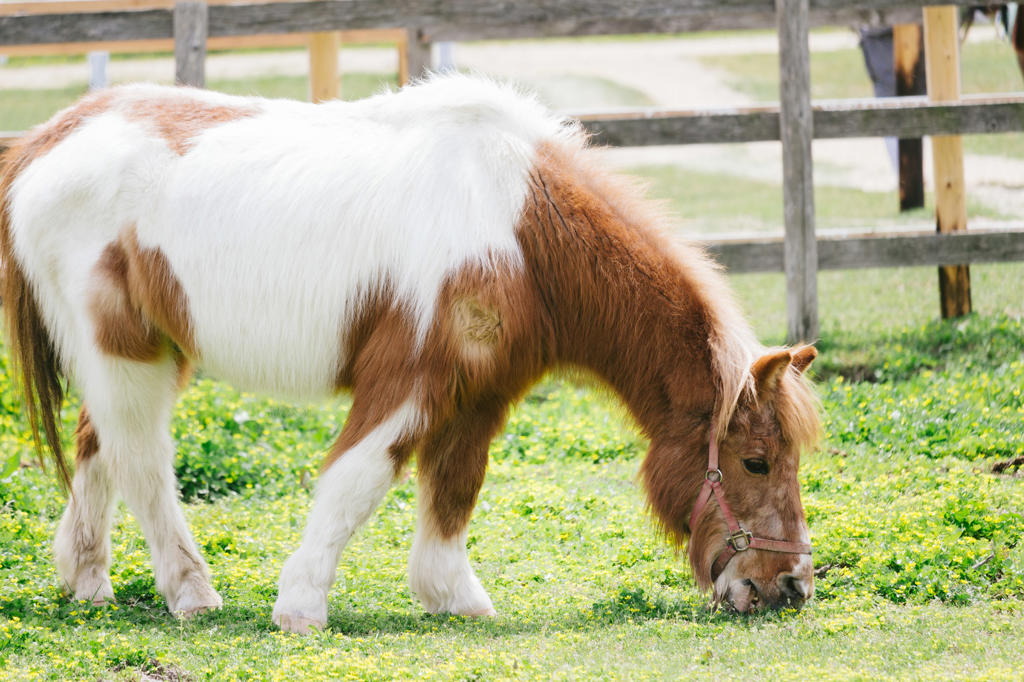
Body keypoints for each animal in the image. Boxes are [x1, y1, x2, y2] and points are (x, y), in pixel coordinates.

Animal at [0, 71, 815, 630]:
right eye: (755, 462)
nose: (792, 587)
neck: (520, 233)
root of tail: (47, 139)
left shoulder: (480, 395)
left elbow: (454, 488)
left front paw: (451, 595)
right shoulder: (409, 380)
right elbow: (356, 482)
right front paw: (301, 607)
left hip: (149, 354)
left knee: (96, 445)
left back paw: (86, 580)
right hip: (125, 356)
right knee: (141, 462)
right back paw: (191, 593)